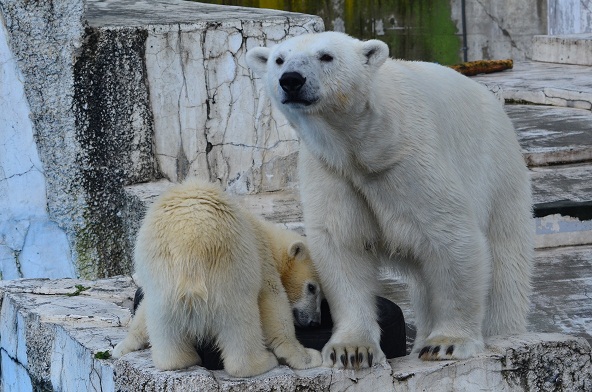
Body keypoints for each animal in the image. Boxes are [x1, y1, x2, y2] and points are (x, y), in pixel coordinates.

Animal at [111, 180, 324, 376]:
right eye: (312, 288)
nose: (316, 321)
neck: (265, 233)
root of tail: (189, 252)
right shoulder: (261, 255)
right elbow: (273, 301)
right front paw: (307, 357)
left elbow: (142, 311)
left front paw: (122, 346)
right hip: (229, 271)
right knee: (240, 320)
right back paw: (260, 363)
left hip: (164, 279)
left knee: (161, 318)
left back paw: (180, 360)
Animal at [247, 32, 536, 370]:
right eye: (279, 59)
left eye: (326, 56)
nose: (291, 80)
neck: (367, 141)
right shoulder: (331, 169)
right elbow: (342, 242)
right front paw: (351, 350)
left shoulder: (410, 159)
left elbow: (451, 236)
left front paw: (447, 343)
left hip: (499, 170)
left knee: (505, 263)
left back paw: (502, 331)